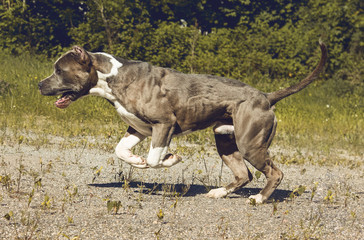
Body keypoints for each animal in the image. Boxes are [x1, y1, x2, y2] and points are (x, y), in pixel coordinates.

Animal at [38, 41, 328, 202]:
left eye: (59, 70)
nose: (39, 84)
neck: (111, 77)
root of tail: (266, 97)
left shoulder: (163, 124)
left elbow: (155, 158)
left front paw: (170, 159)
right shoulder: (138, 127)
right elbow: (121, 150)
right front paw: (136, 160)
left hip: (250, 144)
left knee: (274, 173)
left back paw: (259, 199)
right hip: (226, 142)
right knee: (243, 174)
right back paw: (219, 193)